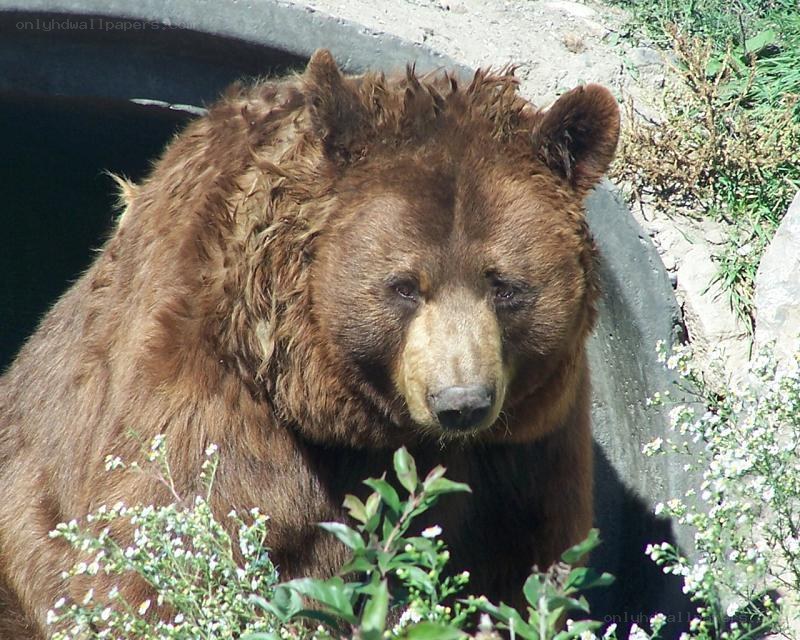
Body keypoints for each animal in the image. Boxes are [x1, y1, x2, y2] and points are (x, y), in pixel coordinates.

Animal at [0, 49, 619, 638]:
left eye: (504, 285)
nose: (461, 403)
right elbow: (162, 552)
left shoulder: (527, 445)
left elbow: (527, 568)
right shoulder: (211, 400)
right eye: (404, 285)